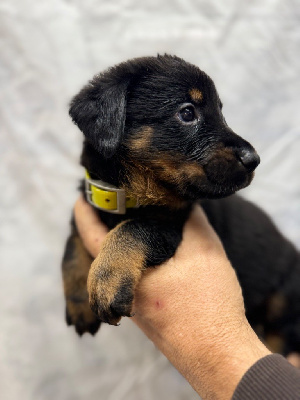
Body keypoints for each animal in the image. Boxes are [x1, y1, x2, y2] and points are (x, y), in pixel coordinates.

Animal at [61, 54, 300, 354]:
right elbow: (71, 248)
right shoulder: (86, 205)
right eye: (187, 113)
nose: (253, 159)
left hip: (286, 293)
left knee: (283, 332)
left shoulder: (170, 228)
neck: (129, 193)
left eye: (221, 112)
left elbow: (131, 229)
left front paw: (107, 279)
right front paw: (79, 302)